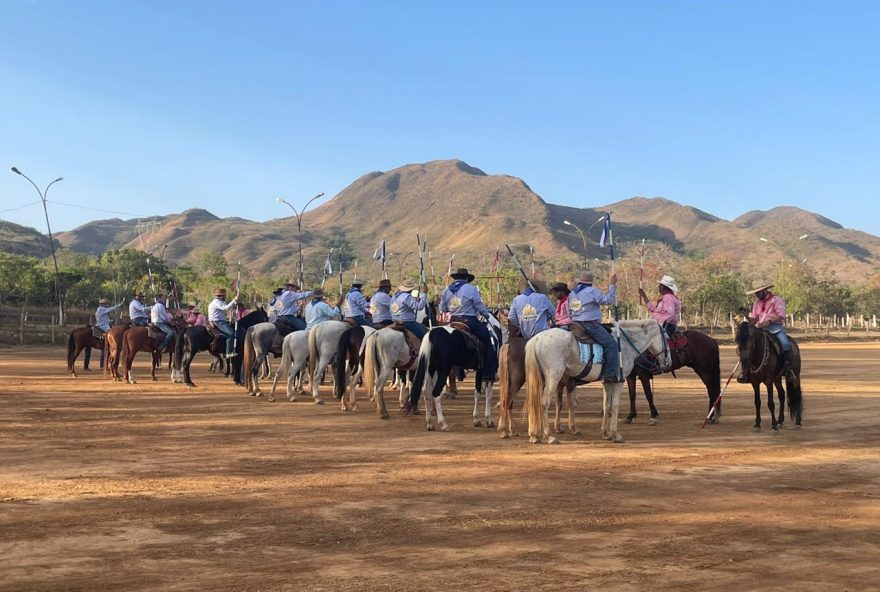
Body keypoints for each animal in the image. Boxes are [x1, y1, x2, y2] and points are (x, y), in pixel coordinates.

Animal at [524, 320, 672, 444]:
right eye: (668, 339)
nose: (668, 363)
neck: (624, 344)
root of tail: (537, 338)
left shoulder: (607, 382)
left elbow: (606, 406)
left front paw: (605, 433)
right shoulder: (619, 381)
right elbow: (615, 406)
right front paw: (615, 434)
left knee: (535, 402)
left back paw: (534, 435)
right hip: (553, 377)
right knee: (544, 402)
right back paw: (548, 436)